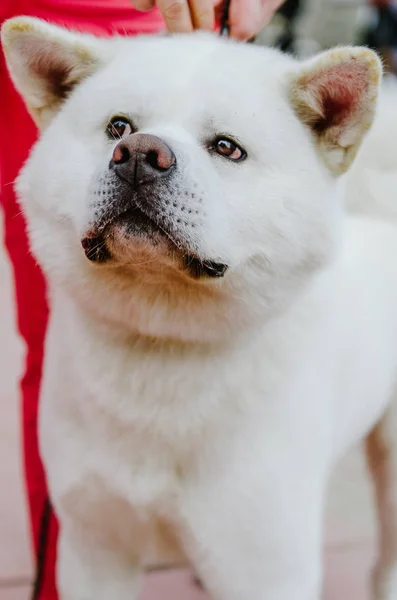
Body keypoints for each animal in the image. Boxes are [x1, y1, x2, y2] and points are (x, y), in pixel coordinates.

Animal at [0, 16, 396, 600]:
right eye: (118, 127)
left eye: (228, 147)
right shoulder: (93, 543)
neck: (162, 346)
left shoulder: (265, 564)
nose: (139, 155)